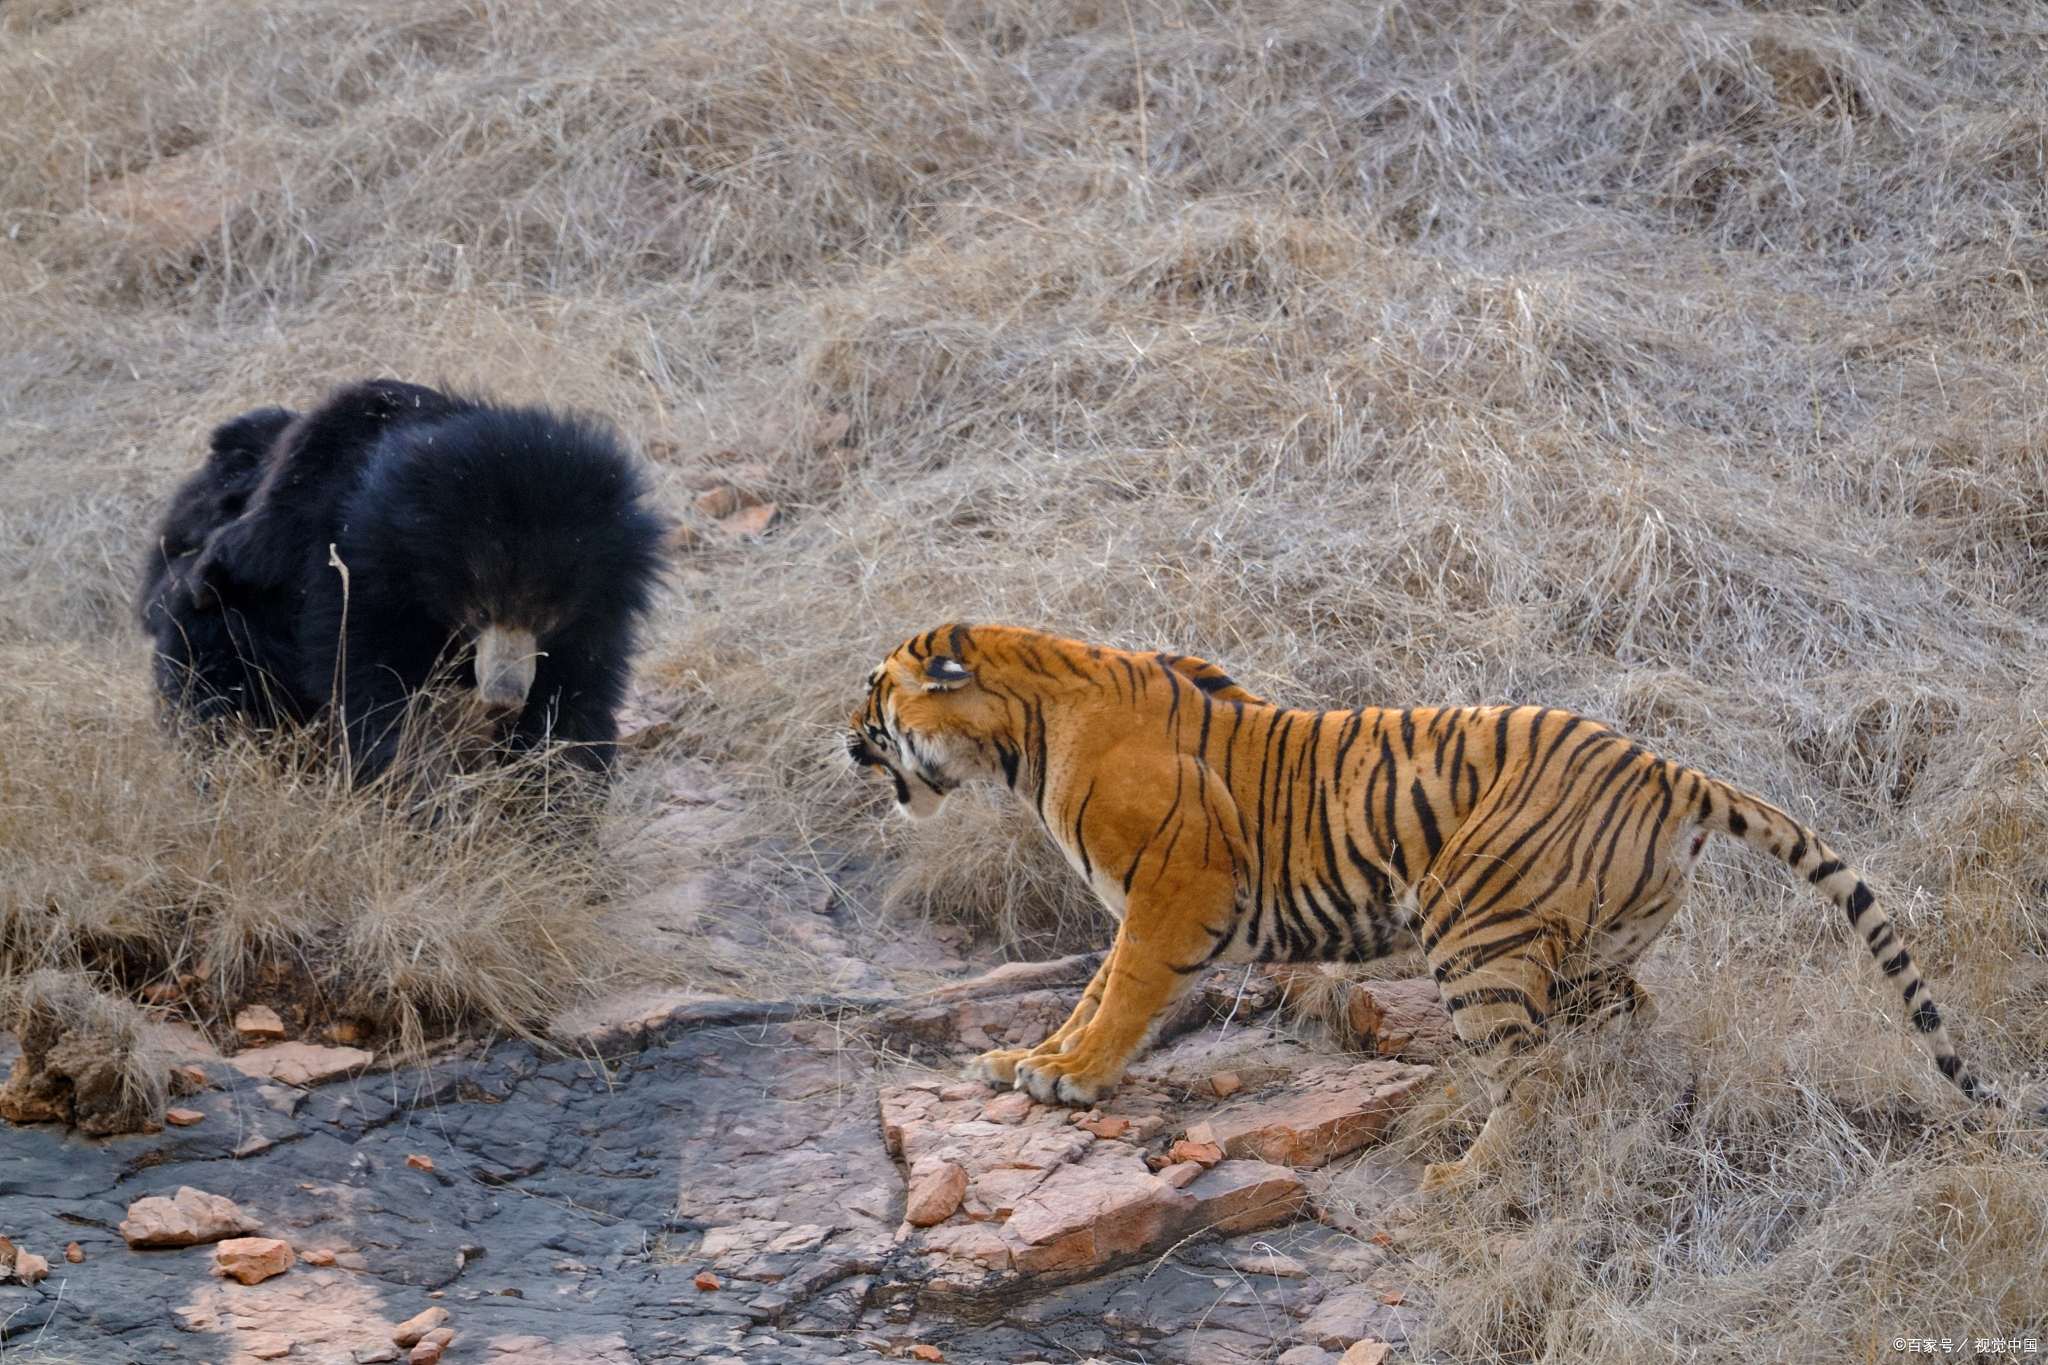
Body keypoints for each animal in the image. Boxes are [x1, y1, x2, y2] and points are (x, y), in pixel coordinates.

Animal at [144, 378, 671, 785]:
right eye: (479, 610)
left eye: (546, 618)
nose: (503, 699)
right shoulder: (356, 577)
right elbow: (377, 690)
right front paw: (425, 801)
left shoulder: (596, 614)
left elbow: (574, 699)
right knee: (210, 662)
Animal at [847, 626, 1998, 1186]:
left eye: (874, 694)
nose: (844, 742)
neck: (1021, 737)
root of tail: (1665, 766)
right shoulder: (1147, 904)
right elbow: (1091, 992)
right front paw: (1027, 1060)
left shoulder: (1174, 895)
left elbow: (1120, 993)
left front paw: (1069, 1079)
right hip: (1588, 955)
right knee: (1625, 1033)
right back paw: (1635, 1117)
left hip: (1473, 933)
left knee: (1528, 1079)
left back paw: (1462, 1178)